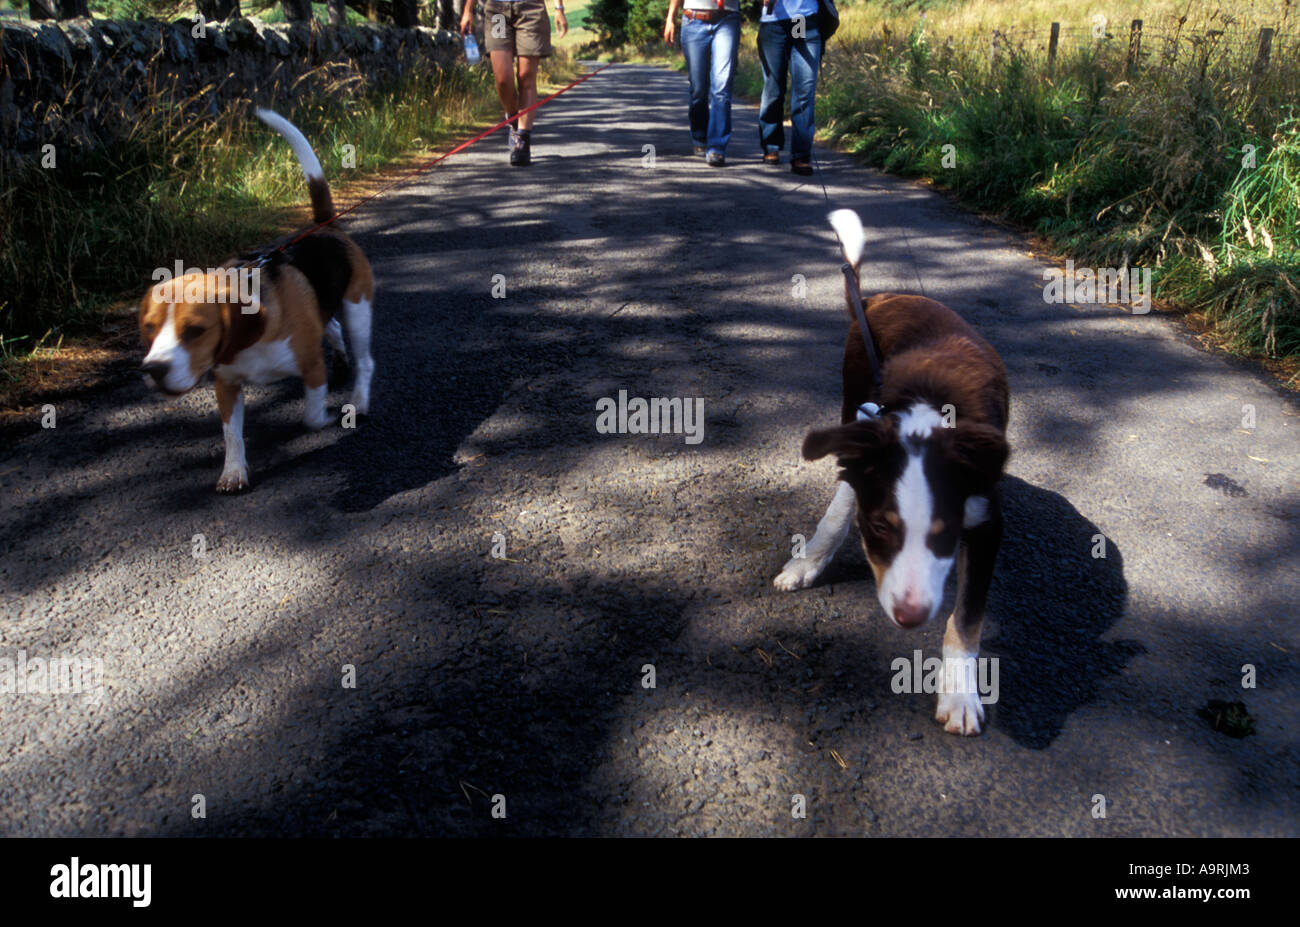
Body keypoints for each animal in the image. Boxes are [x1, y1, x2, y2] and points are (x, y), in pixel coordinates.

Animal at [138, 110, 377, 491]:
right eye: (150, 328)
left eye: (195, 331)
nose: (153, 370)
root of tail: (326, 227)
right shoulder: (226, 384)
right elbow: (232, 435)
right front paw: (233, 471)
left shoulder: (312, 368)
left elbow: (311, 417)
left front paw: (326, 418)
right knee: (333, 327)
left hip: (359, 307)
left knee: (364, 359)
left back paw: (359, 400)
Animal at [774, 206, 1008, 733]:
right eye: (880, 528)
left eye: (947, 532)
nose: (910, 616)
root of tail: (879, 296)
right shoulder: (864, 446)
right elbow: (837, 515)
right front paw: (806, 563)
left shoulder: (986, 521)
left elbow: (967, 616)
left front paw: (959, 693)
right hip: (851, 398)